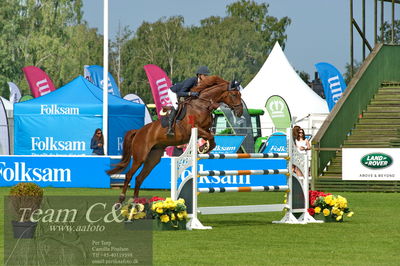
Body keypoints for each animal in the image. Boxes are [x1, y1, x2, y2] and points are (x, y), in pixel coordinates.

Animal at [106, 76, 242, 203]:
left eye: (240, 94)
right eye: (234, 94)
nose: (240, 112)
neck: (202, 105)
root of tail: (139, 131)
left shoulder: (205, 129)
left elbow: (212, 139)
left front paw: (203, 148)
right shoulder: (193, 128)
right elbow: (210, 137)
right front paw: (203, 148)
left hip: (153, 158)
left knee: (139, 178)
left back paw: (136, 202)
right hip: (140, 156)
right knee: (129, 175)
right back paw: (120, 200)